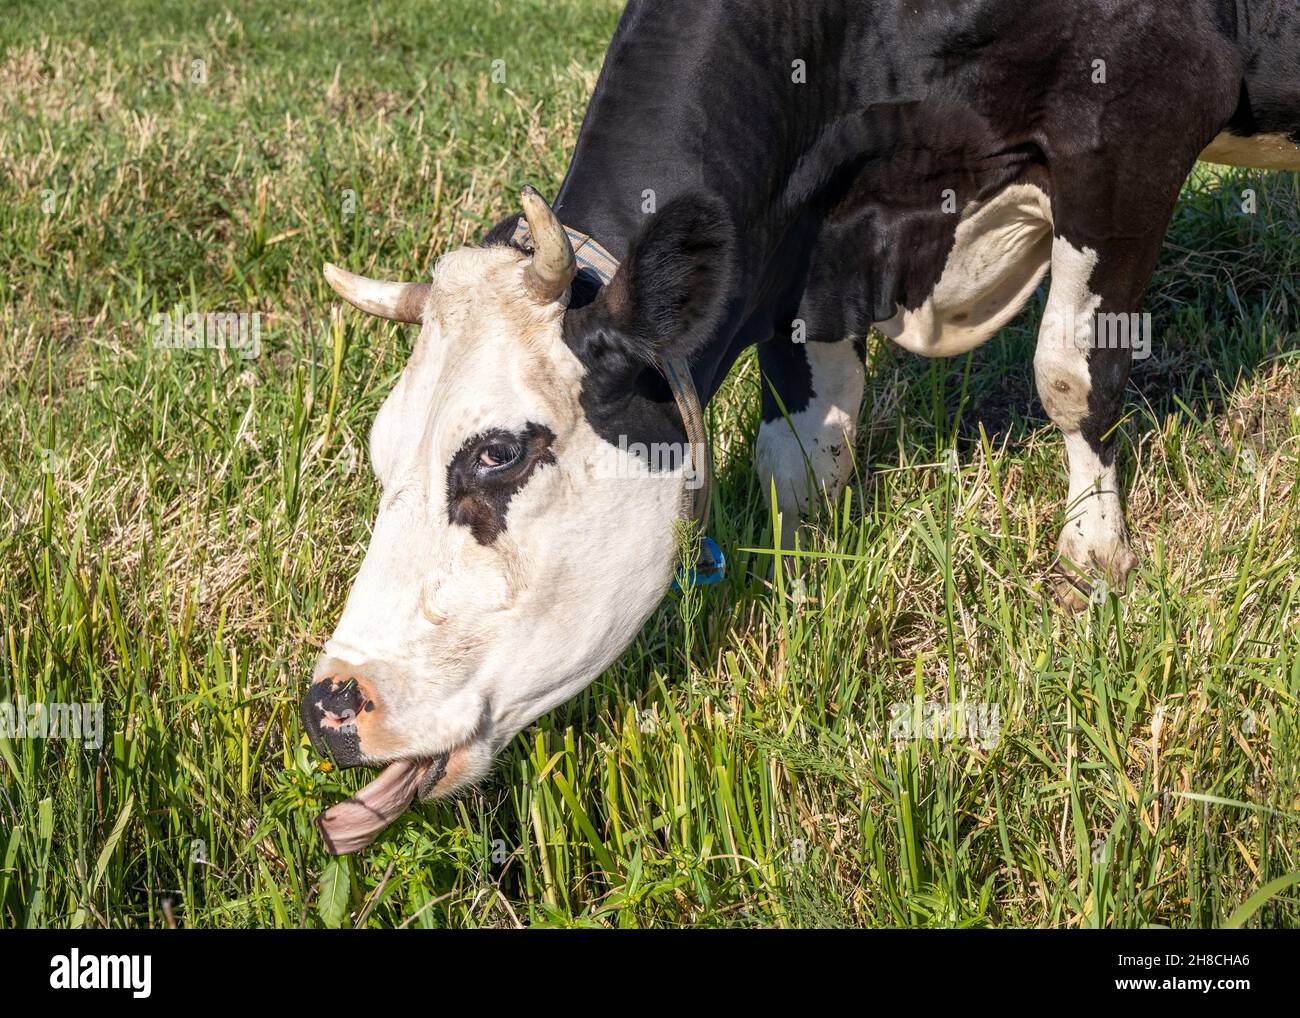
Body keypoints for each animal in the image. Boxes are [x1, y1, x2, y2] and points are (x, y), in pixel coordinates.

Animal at [301, 0, 1300, 852]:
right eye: (380, 454)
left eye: (499, 453)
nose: (330, 711)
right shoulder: (816, 247)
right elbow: (800, 447)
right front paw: (805, 589)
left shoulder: (1136, 112)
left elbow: (1070, 371)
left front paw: (1095, 553)